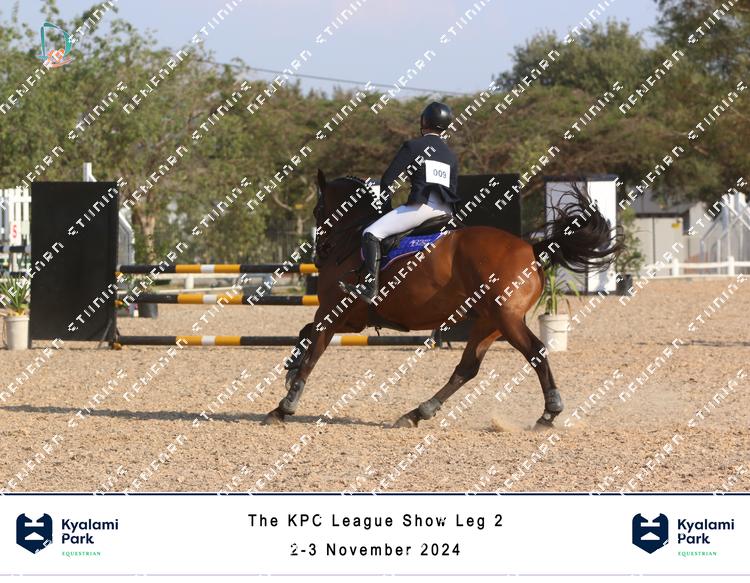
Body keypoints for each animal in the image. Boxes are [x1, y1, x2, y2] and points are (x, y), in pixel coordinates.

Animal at [262, 170, 621, 429]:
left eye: (318, 209)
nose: (320, 256)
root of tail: (531, 249)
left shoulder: (335, 312)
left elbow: (313, 348)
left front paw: (285, 405)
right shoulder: (351, 319)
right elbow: (305, 335)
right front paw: (290, 372)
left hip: (506, 319)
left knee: (535, 352)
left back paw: (549, 413)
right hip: (489, 322)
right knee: (467, 367)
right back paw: (418, 412)